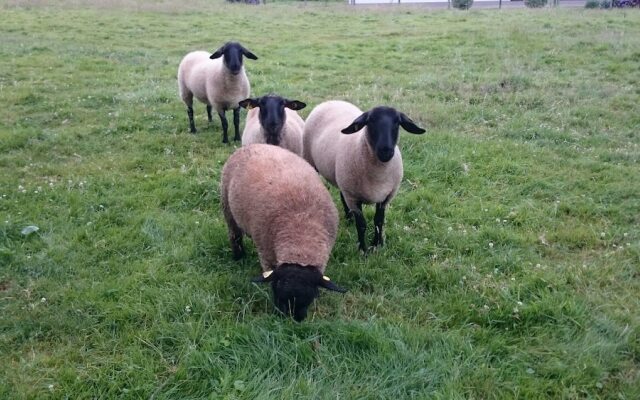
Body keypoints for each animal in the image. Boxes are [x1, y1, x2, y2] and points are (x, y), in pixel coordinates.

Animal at [221, 144, 350, 322]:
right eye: (277, 289)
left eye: (312, 295)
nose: (292, 319)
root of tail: (256, 145)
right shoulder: (267, 255)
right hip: (227, 207)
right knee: (235, 236)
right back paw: (238, 257)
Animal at [304, 101, 424, 255]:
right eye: (370, 121)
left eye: (397, 122)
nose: (385, 151)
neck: (379, 175)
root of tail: (330, 101)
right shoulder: (353, 198)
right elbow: (361, 225)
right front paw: (363, 250)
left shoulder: (386, 197)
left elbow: (379, 221)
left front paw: (377, 244)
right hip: (313, 162)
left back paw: (349, 218)